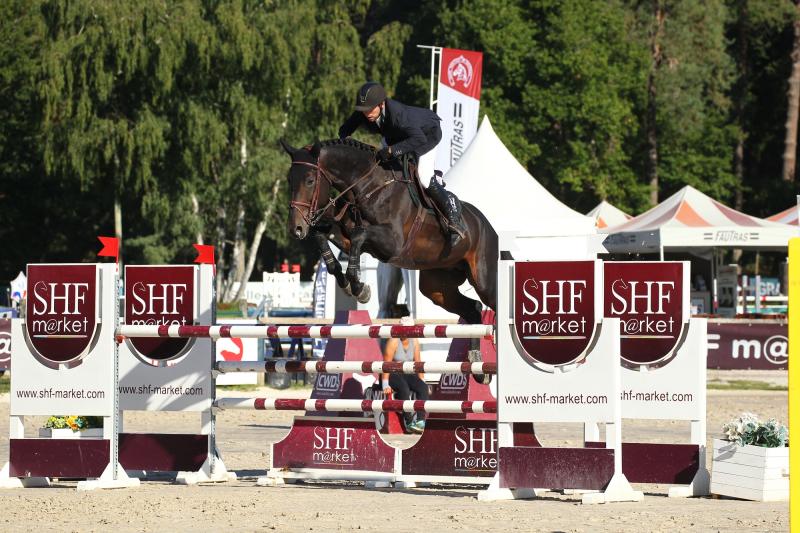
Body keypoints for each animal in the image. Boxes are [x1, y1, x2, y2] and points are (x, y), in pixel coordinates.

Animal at [280, 138, 498, 328]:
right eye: (289, 179)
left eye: (310, 180)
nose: (295, 228)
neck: (369, 188)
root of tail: (487, 226)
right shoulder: (347, 238)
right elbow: (321, 235)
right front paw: (346, 282)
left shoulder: (393, 244)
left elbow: (360, 234)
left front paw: (359, 288)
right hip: (437, 286)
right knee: (472, 307)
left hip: (484, 280)